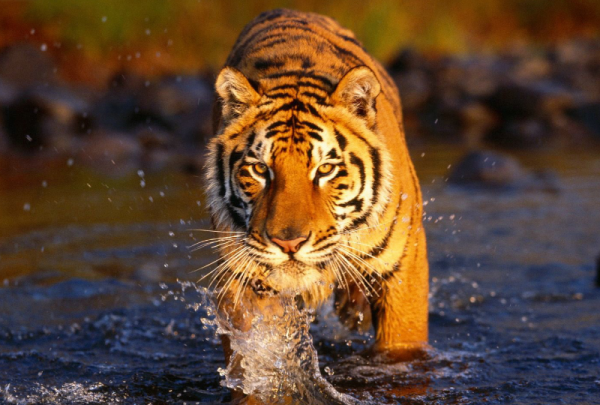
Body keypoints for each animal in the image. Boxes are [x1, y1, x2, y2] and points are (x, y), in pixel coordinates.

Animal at [204, 7, 428, 360]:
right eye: (259, 169)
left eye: (325, 169)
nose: (289, 244)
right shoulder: (242, 279)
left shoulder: (403, 269)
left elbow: (402, 346)